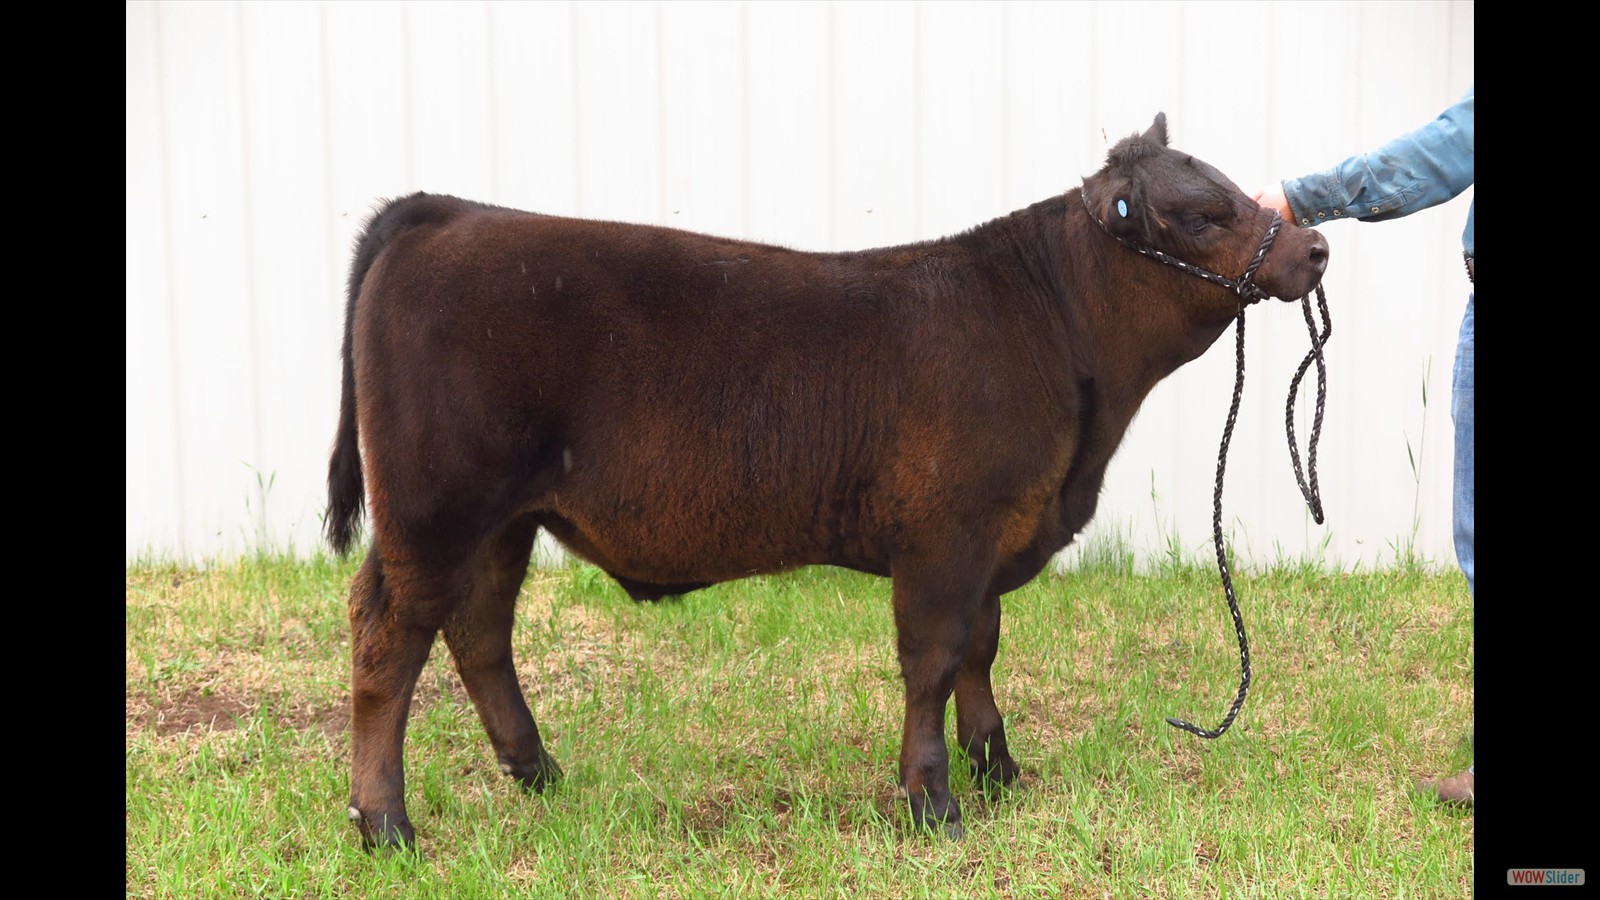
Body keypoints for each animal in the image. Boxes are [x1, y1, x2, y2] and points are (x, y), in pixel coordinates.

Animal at [325, 113, 1329, 851]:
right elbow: (934, 660)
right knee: (388, 640)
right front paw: (933, 803)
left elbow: (981, 651)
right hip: (435, 510)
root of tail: (450, 211)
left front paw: (998, 773)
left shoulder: (991, 535)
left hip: (504, 520)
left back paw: (539, 776)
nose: (1316, 248)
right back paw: (385, 823)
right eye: (1201, 213)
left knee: (478, 631)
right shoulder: (946, 536)